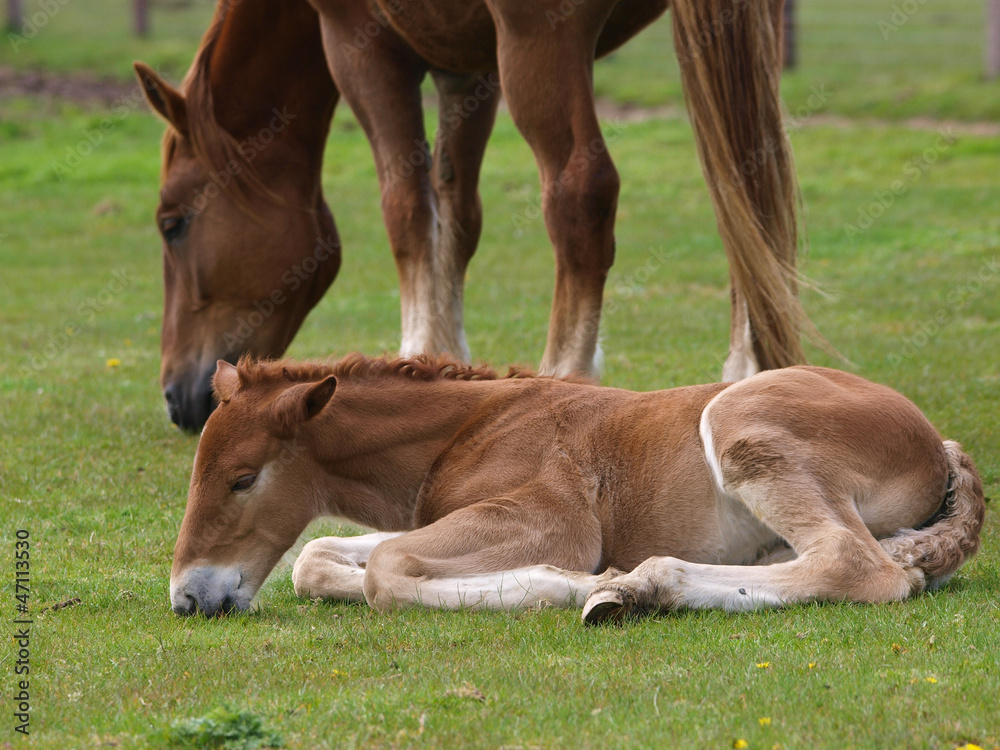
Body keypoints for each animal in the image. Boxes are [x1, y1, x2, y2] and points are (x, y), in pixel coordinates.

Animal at [137, 0, 807, 432]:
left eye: (172, 224)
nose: (173, 395)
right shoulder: (468, 66)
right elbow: (456, 216)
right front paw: (448, 363)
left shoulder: (363, 47)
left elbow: (406, 207)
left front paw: (412, 352)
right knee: (744, 186)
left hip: (539, 39)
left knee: (580, 191)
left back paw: (563, 374)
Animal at [169, 355, 984, 622]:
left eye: (242, 478)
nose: (189, 597)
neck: (469, 426)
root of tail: (938, 444)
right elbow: (316, 558)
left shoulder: (546, 521)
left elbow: (391, 572)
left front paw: (568, 585)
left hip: (739, 420)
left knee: (857, 566)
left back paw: (638, 587)